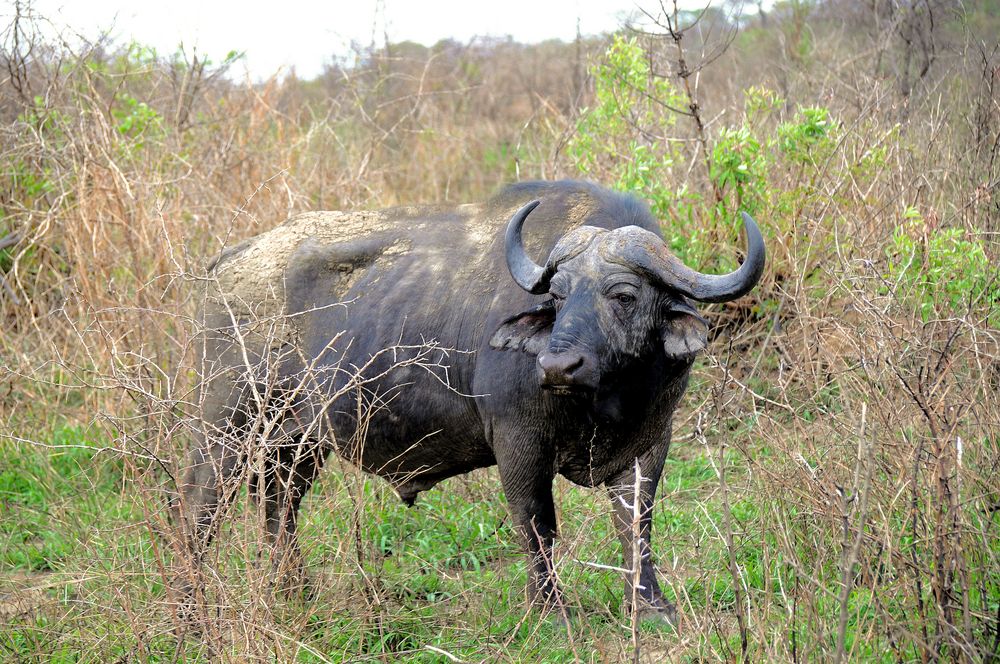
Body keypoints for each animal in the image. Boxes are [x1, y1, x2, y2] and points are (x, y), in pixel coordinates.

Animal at [178, 179, 764, 620]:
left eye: (624, 294)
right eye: (557, 296)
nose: (557, 367)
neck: (603, 399)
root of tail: (226, 263)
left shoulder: (650, 443)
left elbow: (636, 524)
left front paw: (650, 607)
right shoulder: (518, 445)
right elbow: (538, 526)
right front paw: (550, 613)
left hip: (295, 442)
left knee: (279, 507)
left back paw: (295, 595)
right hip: (226, 428)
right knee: (196, 511)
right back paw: (193, 610)